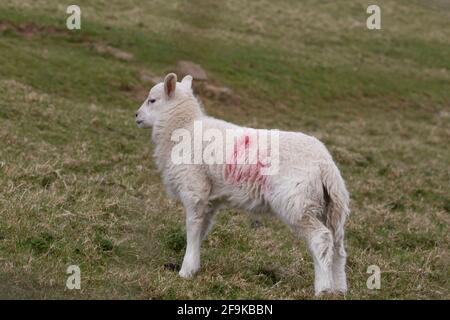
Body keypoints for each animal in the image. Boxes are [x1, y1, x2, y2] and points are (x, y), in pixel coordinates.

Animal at [135, 72, 350, 296]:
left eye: (152, 100)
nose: (136, 116)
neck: (182, 128)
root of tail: (325, 164)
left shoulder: (194, 189)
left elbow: (192, 228)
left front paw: (185, 271)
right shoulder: (210, 198)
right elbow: (202, 230)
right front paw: (193, 264)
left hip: (297, 203)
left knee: (321, 239)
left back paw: (323, 288)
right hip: (331, 206)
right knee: (338, 245)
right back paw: (339, 288)